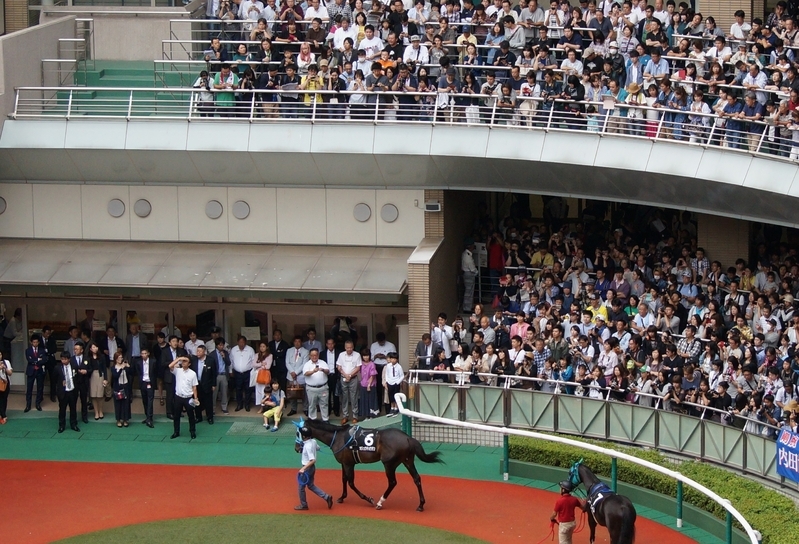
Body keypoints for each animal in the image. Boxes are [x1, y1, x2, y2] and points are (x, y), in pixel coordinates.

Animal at [300, 418, 444, 512]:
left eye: (299, 432)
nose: (297, 448)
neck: (339, 437)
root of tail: (408, 437)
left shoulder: (349, 464)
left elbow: (351, 482)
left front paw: (368, 499)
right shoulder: (344, 463)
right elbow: (344, 479)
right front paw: (342, 497)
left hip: (389, 464)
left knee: (392, 482)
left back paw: (380, 503)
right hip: (407, 460)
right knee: (416, 479)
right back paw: (421, 505)